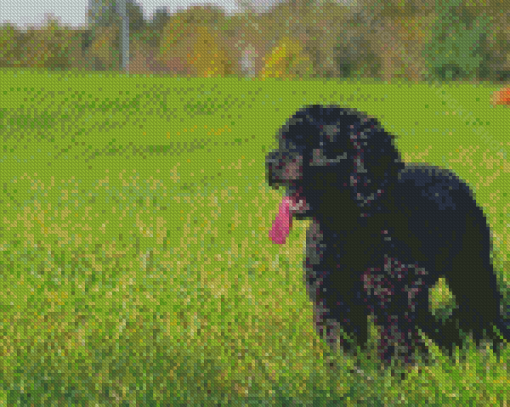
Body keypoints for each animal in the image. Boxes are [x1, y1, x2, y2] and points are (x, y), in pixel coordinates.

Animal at [266, 105, 510, 366]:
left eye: (319, 142)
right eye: (282, 139)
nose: (271, 162)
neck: (349, 227)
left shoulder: (392, 295)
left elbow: (396, 338)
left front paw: (397, 372)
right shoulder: (333, 295)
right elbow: (340, 340)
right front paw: (344, 372)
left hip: (471, 266)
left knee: (482, 303)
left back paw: (490, 342)